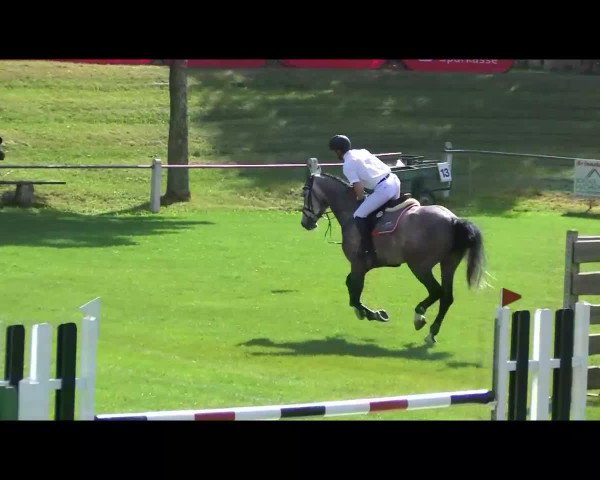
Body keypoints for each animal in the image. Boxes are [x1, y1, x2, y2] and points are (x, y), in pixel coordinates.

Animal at [300, 171, 488, 344]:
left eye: (304, 194)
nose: (305, 223)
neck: (350, 210)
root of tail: (453, 219)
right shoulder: (365, 265)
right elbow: (351, 285)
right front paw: (369, 312)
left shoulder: (358, 263)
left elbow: (355, 290)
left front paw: (370, 313)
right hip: (448, 264)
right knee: (447, 297)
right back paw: (432, 333)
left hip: (420, 266)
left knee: (437, 291)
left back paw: (419, 316)